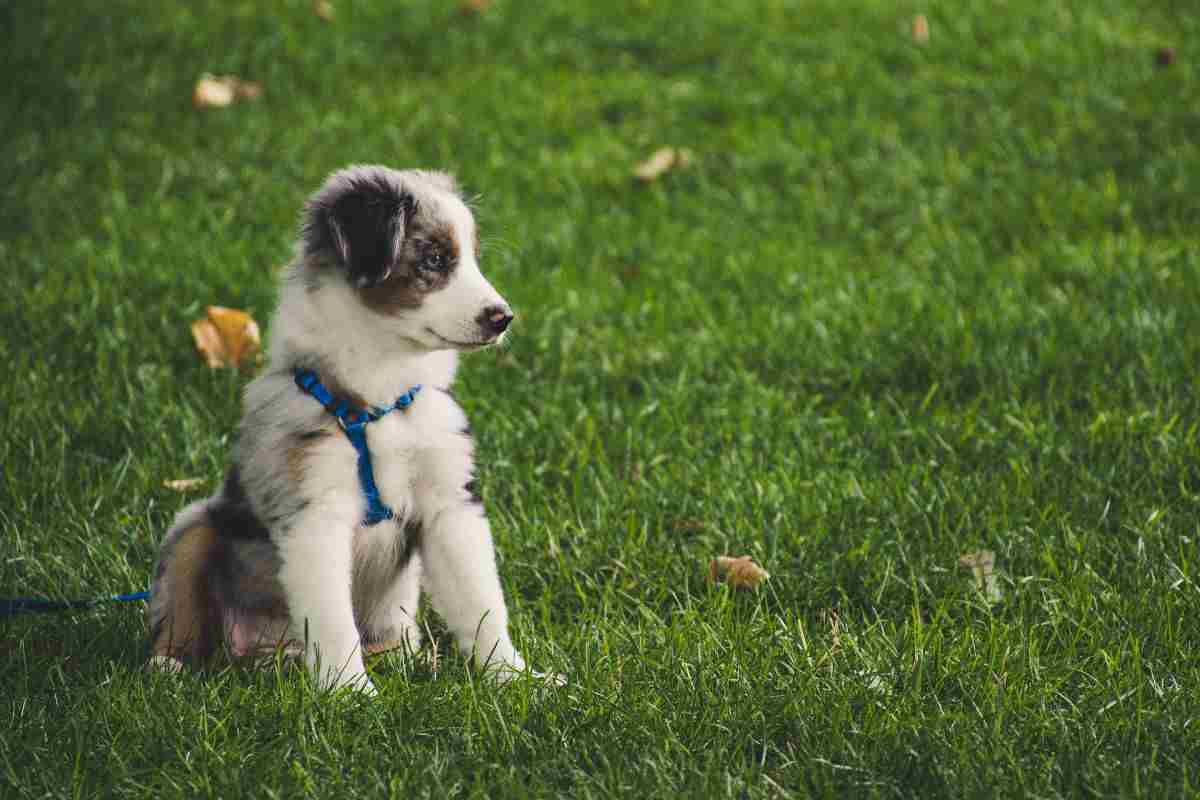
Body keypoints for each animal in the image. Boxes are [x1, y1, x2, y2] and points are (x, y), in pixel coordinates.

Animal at [145, 164, 544, 695]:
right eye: (435, 259)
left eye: (473, 260)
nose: (503, 319)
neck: (381, 397)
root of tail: (267, 652)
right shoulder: (315, 512)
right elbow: (333, 619)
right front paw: (350, 693)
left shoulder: (450, 503)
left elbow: (482, 601)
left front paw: (516, 678)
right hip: (195, 525)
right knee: (180, 607)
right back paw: (169, 665)